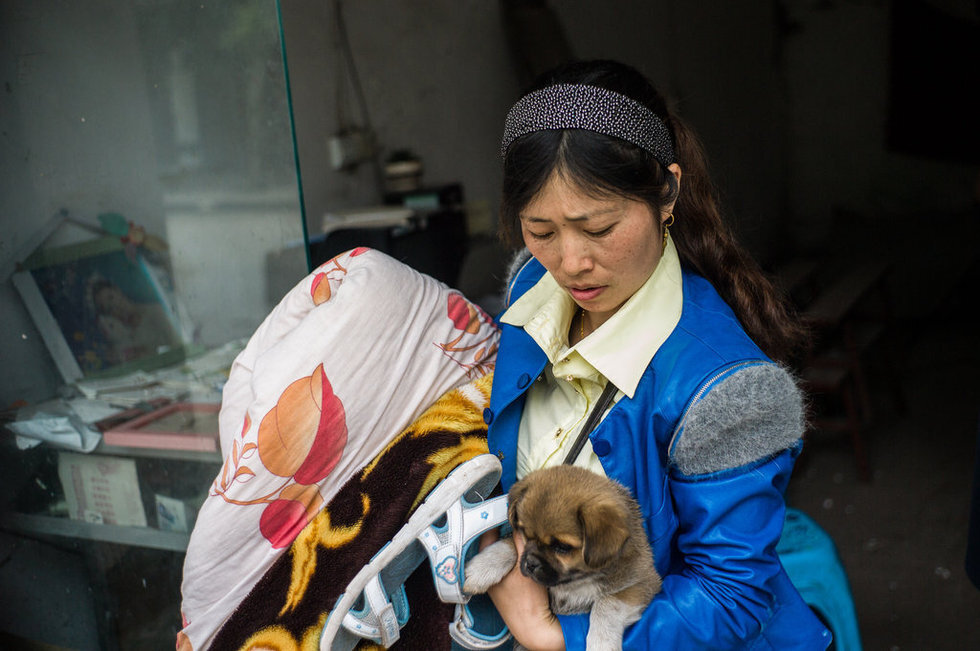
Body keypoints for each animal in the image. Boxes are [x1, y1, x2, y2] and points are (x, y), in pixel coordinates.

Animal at [466, 466, 664, 648]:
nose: (530, 564)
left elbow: (606, 604)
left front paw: (601, 643)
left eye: (562, 547)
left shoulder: (643, 583)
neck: (578, 580)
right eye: (524, 533)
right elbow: (511, 545)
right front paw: (482, 567)